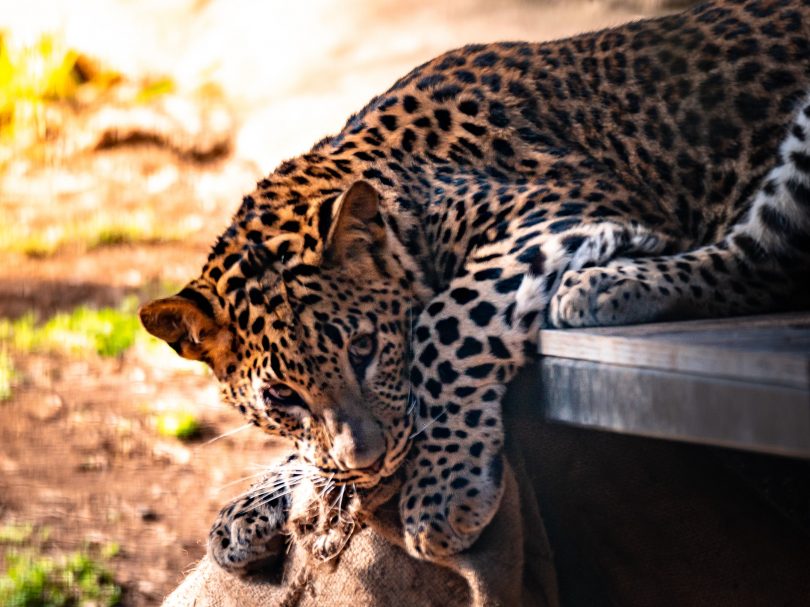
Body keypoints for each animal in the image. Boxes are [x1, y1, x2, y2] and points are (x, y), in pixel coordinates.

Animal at [139, 0, 808, 576]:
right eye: (280, 396)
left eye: (365, 349)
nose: (368, 460)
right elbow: (313, 446)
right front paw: (256, 506)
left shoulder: (563, 208)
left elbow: (447, 322)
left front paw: (440, 490)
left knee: (771, 256)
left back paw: (605, 286)